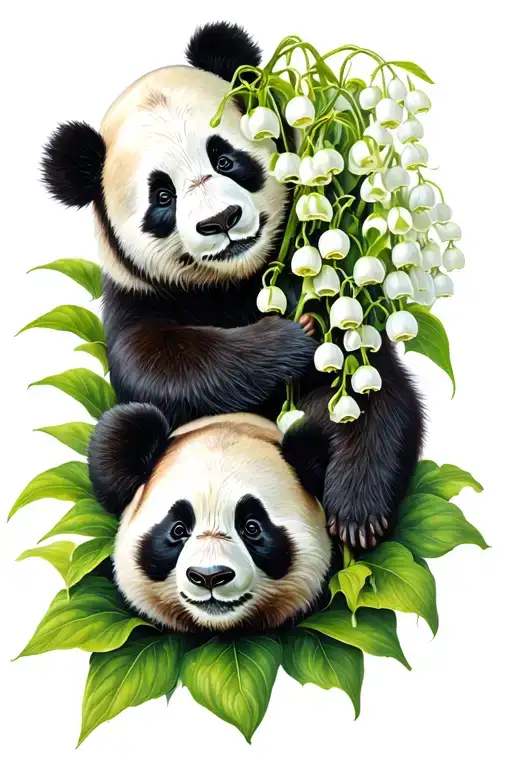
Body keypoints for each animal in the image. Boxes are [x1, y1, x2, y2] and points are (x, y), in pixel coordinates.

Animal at [41, 21, 424, 550]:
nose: (221, 219)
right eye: (163, 196)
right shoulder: (135, 300)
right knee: (118, 432)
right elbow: (160, 366)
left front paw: (357, 516)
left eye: (225, 159)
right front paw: (289, 339)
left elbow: (373, 388)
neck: (235, 284)